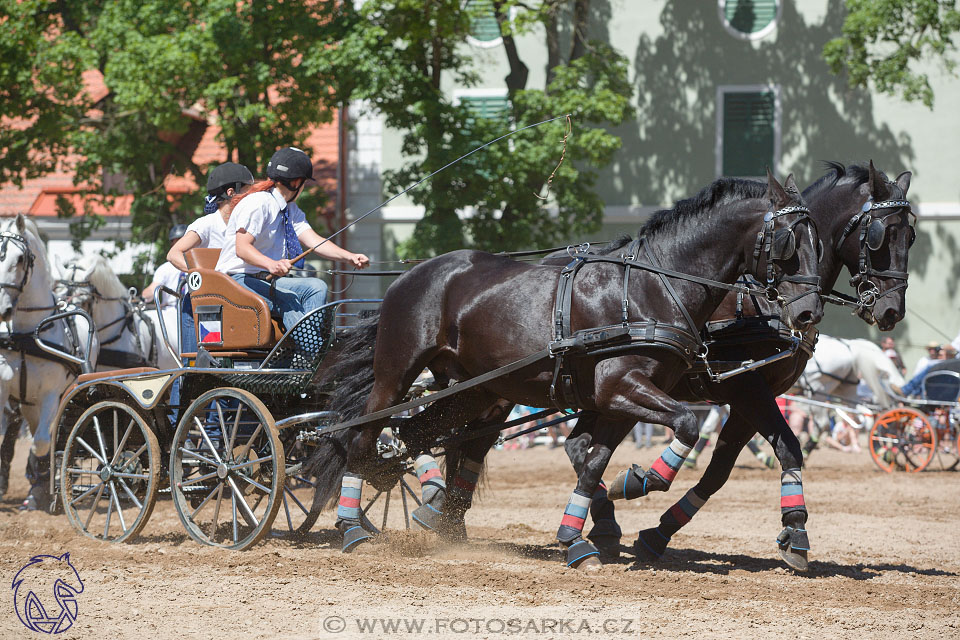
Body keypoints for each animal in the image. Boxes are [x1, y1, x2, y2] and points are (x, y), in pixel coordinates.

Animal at [0, 216, 79, 510]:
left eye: (21, 258)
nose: (2, 309)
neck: (27, 333)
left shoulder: (51, 395)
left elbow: (43, 442)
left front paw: (45, 483)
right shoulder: (5, 389)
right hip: (28, 403)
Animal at [318, 171, 820, 568]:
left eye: (820, 241)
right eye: (789, 242)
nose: (809, 313)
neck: (652, 287)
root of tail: (411, 274)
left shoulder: (618, 399)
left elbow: (592, 461)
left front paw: (579, 537)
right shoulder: (623, 386)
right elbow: (686, 424)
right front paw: (643, 480)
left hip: (473, 390)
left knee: (415, 434)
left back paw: (435, 512)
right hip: (397, 374)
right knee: (363, 434)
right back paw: (352, 526)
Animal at [568, 160, 912, 568]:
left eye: (911, 236)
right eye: (880, 235)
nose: (892, 310)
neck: (763, 302)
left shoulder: (755, 395)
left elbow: (720, 471)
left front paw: (659, 533)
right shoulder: (746, 388)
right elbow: (787, 447)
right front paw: (796, 530)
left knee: (579, 446)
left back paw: (603, 522)